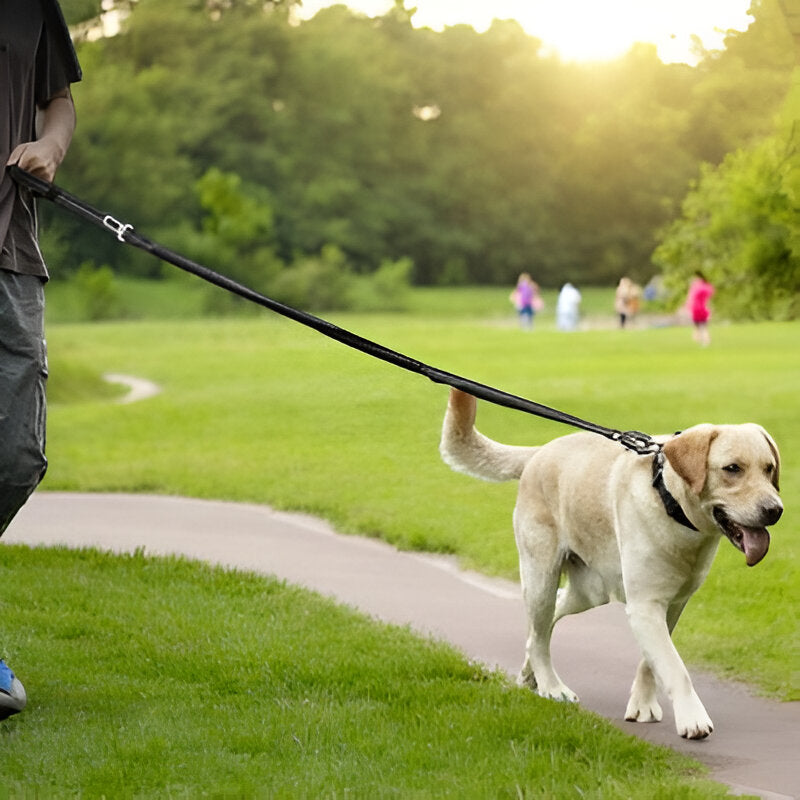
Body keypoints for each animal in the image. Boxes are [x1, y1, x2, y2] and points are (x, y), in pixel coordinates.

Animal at [438, 388, 780, 736]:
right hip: (540, 578)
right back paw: (551, 686)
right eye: (732, 468)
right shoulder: (646, 606)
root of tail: (540, 452)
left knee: (546, 623)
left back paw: (530, 674)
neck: (670, 502)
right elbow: (674, 667)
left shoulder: (671, 605)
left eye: (769, 469)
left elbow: (653, 662)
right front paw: (692, 717)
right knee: (539, 634)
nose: (775, 510)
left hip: (589, 591)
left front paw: (643, 705)